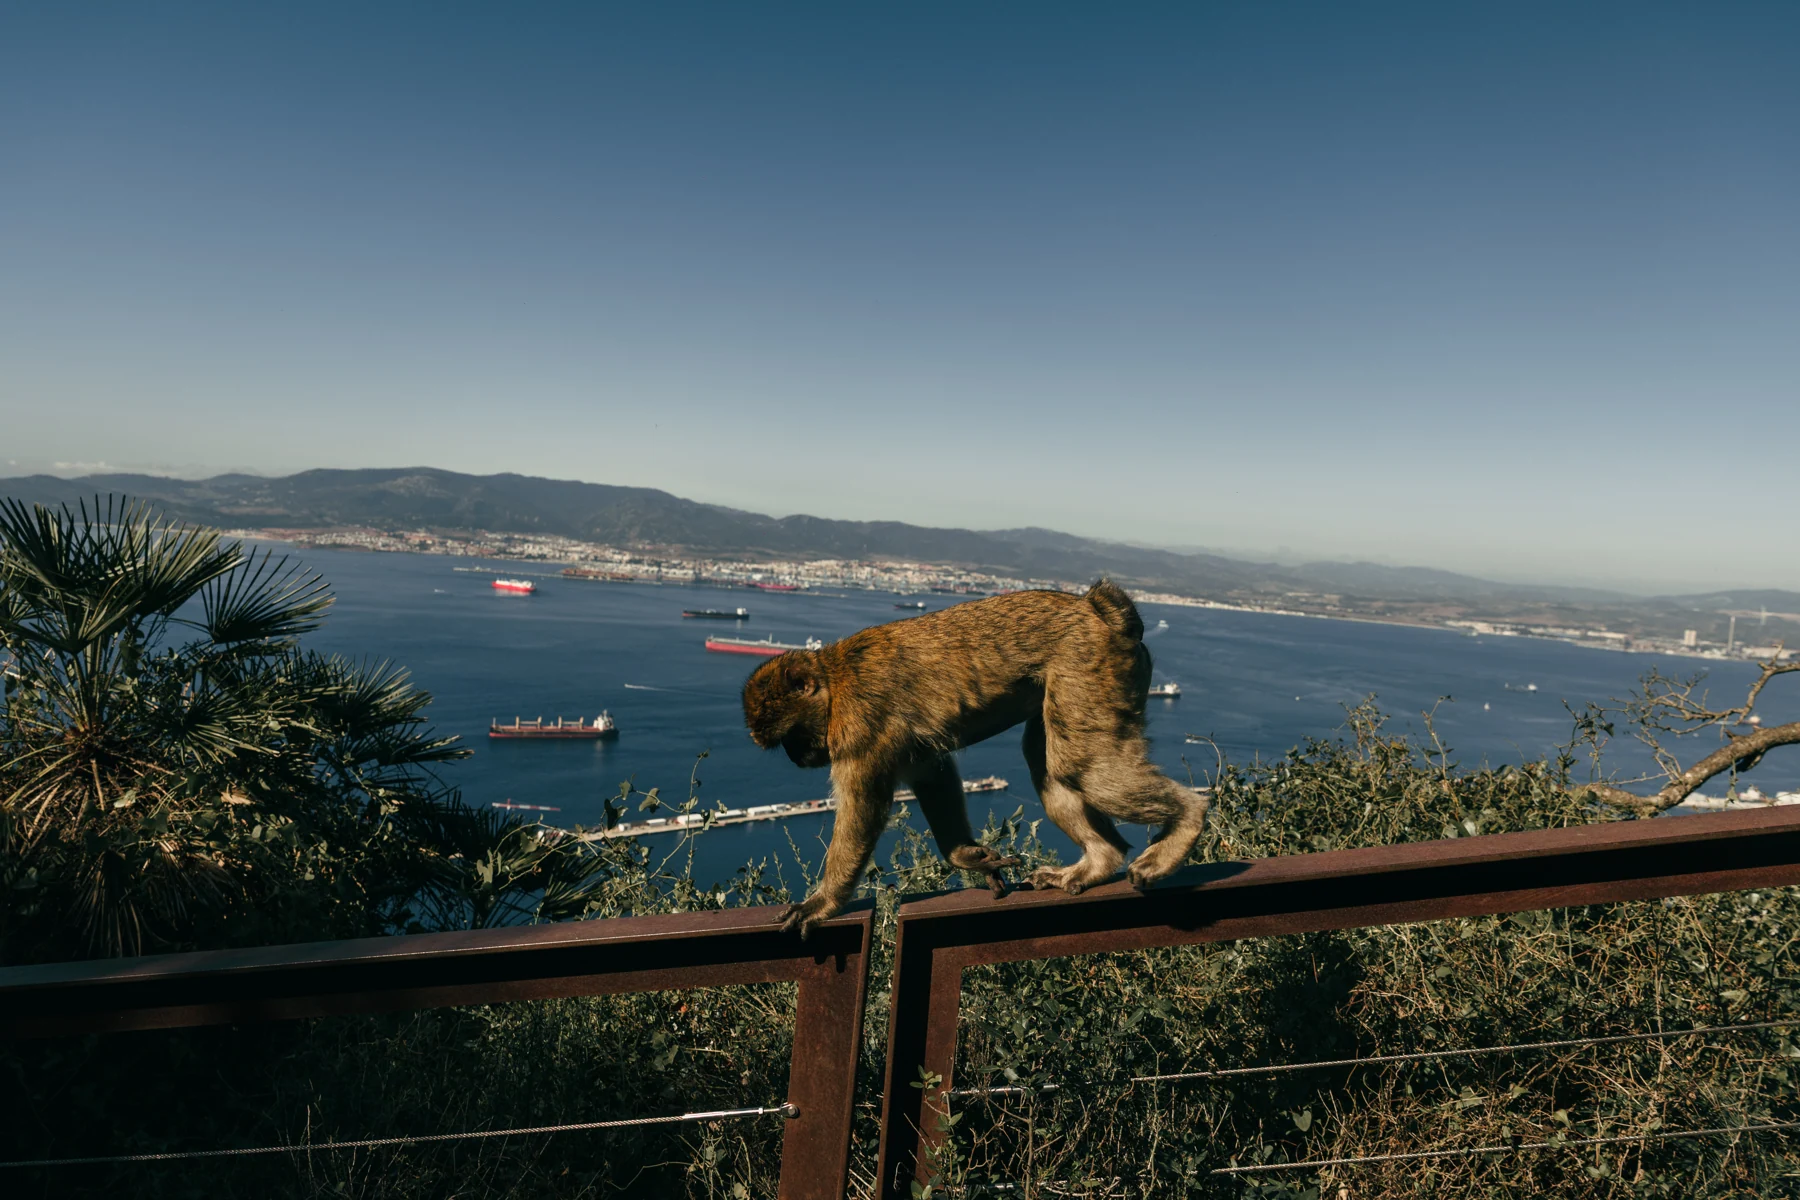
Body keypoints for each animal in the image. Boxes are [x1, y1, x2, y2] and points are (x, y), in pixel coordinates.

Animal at [742, 579, 1208, 937]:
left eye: (791, 737)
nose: (796, 757)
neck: (835, 682)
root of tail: (1097, 608)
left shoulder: (860, 729)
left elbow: (864, 808)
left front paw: (823, 903)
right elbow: (931, 772)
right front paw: (967, 856)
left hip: (1089, 670)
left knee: (1082, 765)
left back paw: (1186, 820)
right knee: (1048, 764)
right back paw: (1098, 862)